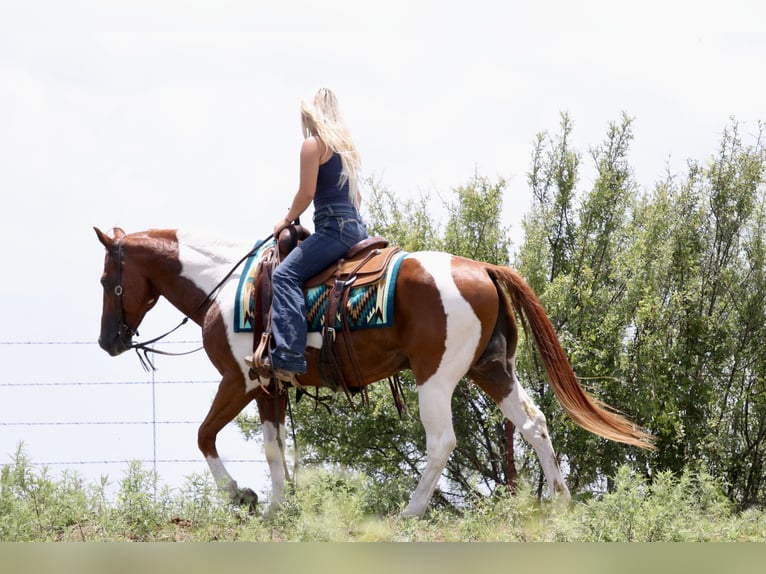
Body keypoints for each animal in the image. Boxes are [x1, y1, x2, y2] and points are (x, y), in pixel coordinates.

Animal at [94, 226, 654, 517]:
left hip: (436, 377)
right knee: (534, 424)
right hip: (492, 369)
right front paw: (277, 508)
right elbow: (274, 448)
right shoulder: (270, 387)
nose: (108, 341)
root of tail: (483, 268)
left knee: (442, 441)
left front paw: (242, 496)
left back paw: (411, 511)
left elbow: (205, 435)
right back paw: (561, 501)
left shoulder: (239, 380)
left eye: (105, 279)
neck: (225, 286)